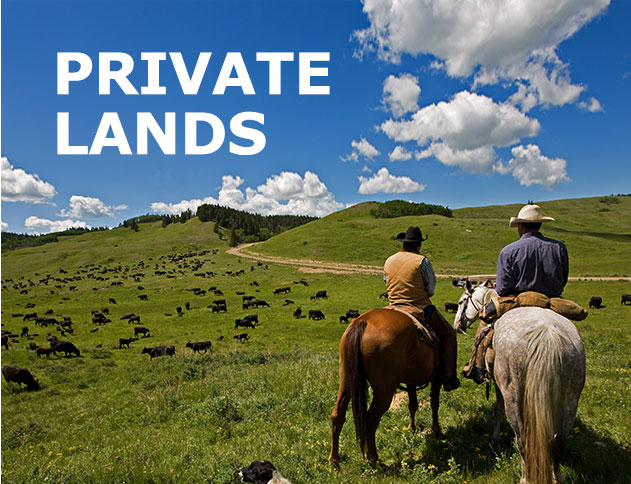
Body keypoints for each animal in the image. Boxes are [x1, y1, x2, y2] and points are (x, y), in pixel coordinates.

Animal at [328, 308, 442, 466]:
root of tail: (362, 322)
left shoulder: (411, 381)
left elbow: (413, 404)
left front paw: (411, 427)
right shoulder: (437, 379)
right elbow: (434, 403)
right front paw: (436, 430)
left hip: (346, 380)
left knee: (337, 415)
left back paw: (334, 459)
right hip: (384, 392)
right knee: (371, 420)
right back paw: (373, 458)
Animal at [454, 284, 588, 484]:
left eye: (462, 301)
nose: (456, 326)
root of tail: (547, 337)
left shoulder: (498, 384)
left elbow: (498, 409)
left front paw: (494, 437)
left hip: (513, 395)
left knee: (522, 440)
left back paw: (525, 477)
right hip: (571, 400)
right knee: (558, 444)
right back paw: (556, 478)